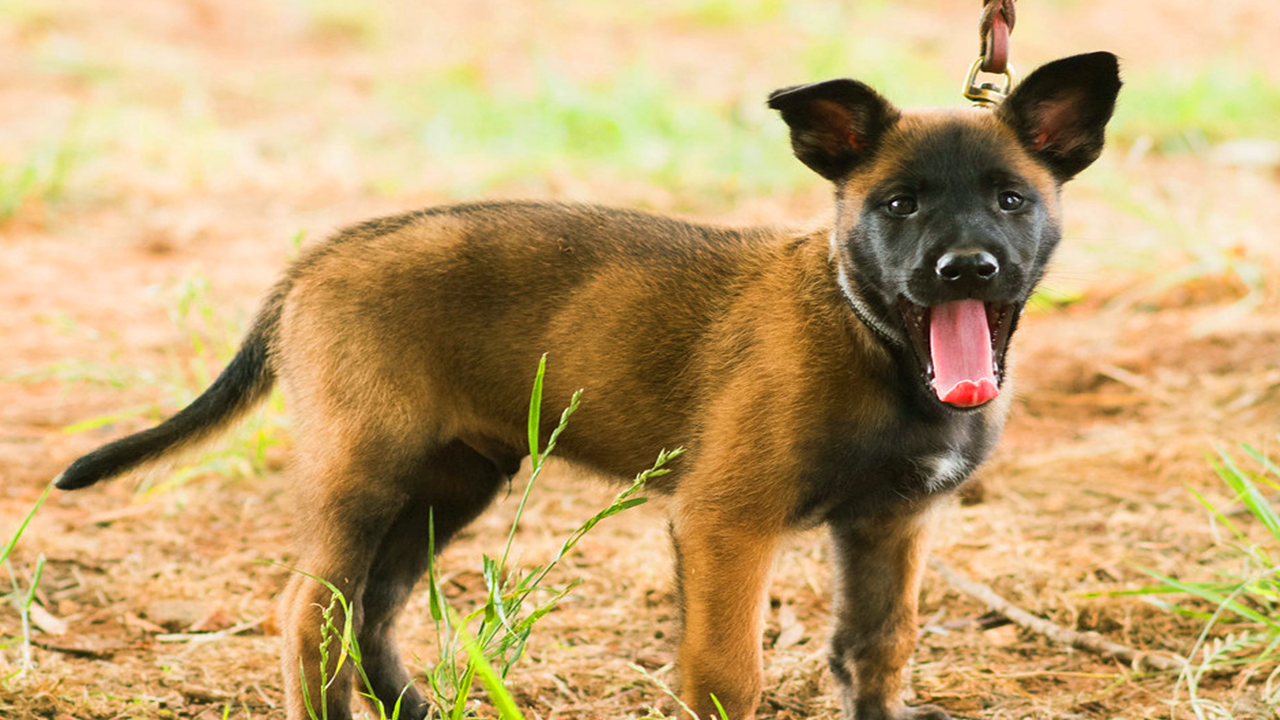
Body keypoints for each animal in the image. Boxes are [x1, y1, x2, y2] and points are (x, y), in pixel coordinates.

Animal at [57, 51, 1121, 717]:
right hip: (364, 473)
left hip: (448, 484)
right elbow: (729, 675)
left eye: (1011, 199)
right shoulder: (725, 524)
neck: (871, 342)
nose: (966, 269)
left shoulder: (889, 527)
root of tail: (321, 256)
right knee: (309, 611)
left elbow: (873, 657)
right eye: (897, 205)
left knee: (373, 608)